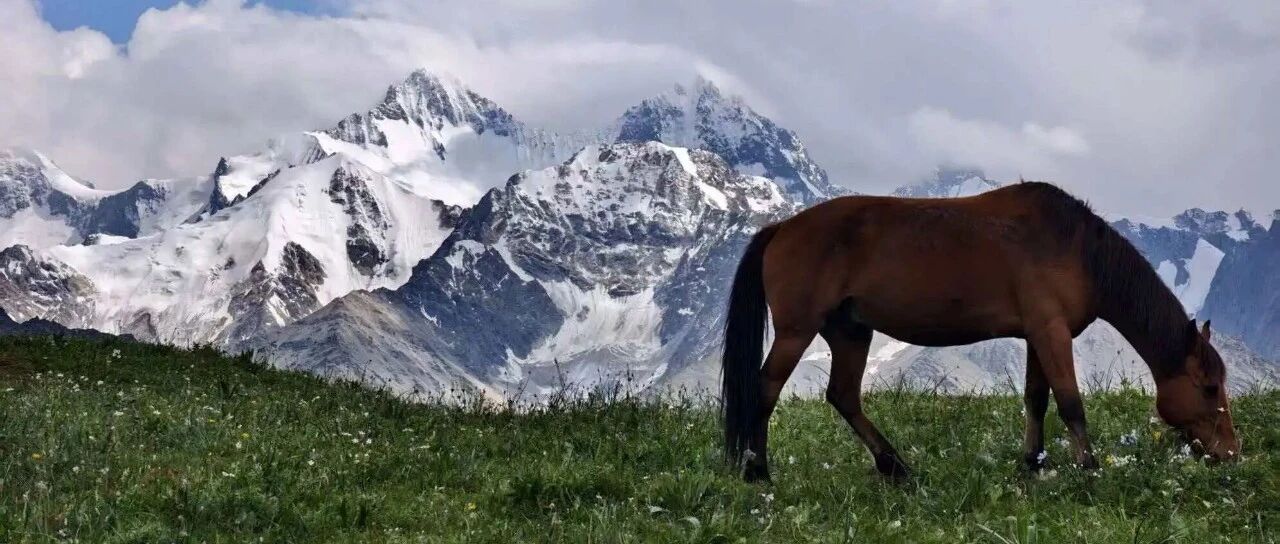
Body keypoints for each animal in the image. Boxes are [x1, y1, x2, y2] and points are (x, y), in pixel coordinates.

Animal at [721, 181, 1239, 482]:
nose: (1231, 452)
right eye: (1209, 387)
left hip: (850, 333)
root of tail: (782, 227)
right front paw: (1089, 468)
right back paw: (758, 471)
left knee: (843, 396)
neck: (1077, 249)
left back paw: (896, 467)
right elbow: (1070, 402)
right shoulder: (1051, 332)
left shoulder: (1038, 335)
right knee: (765, 389)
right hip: (797, 331)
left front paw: (1033, 464)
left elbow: (1037, 399)